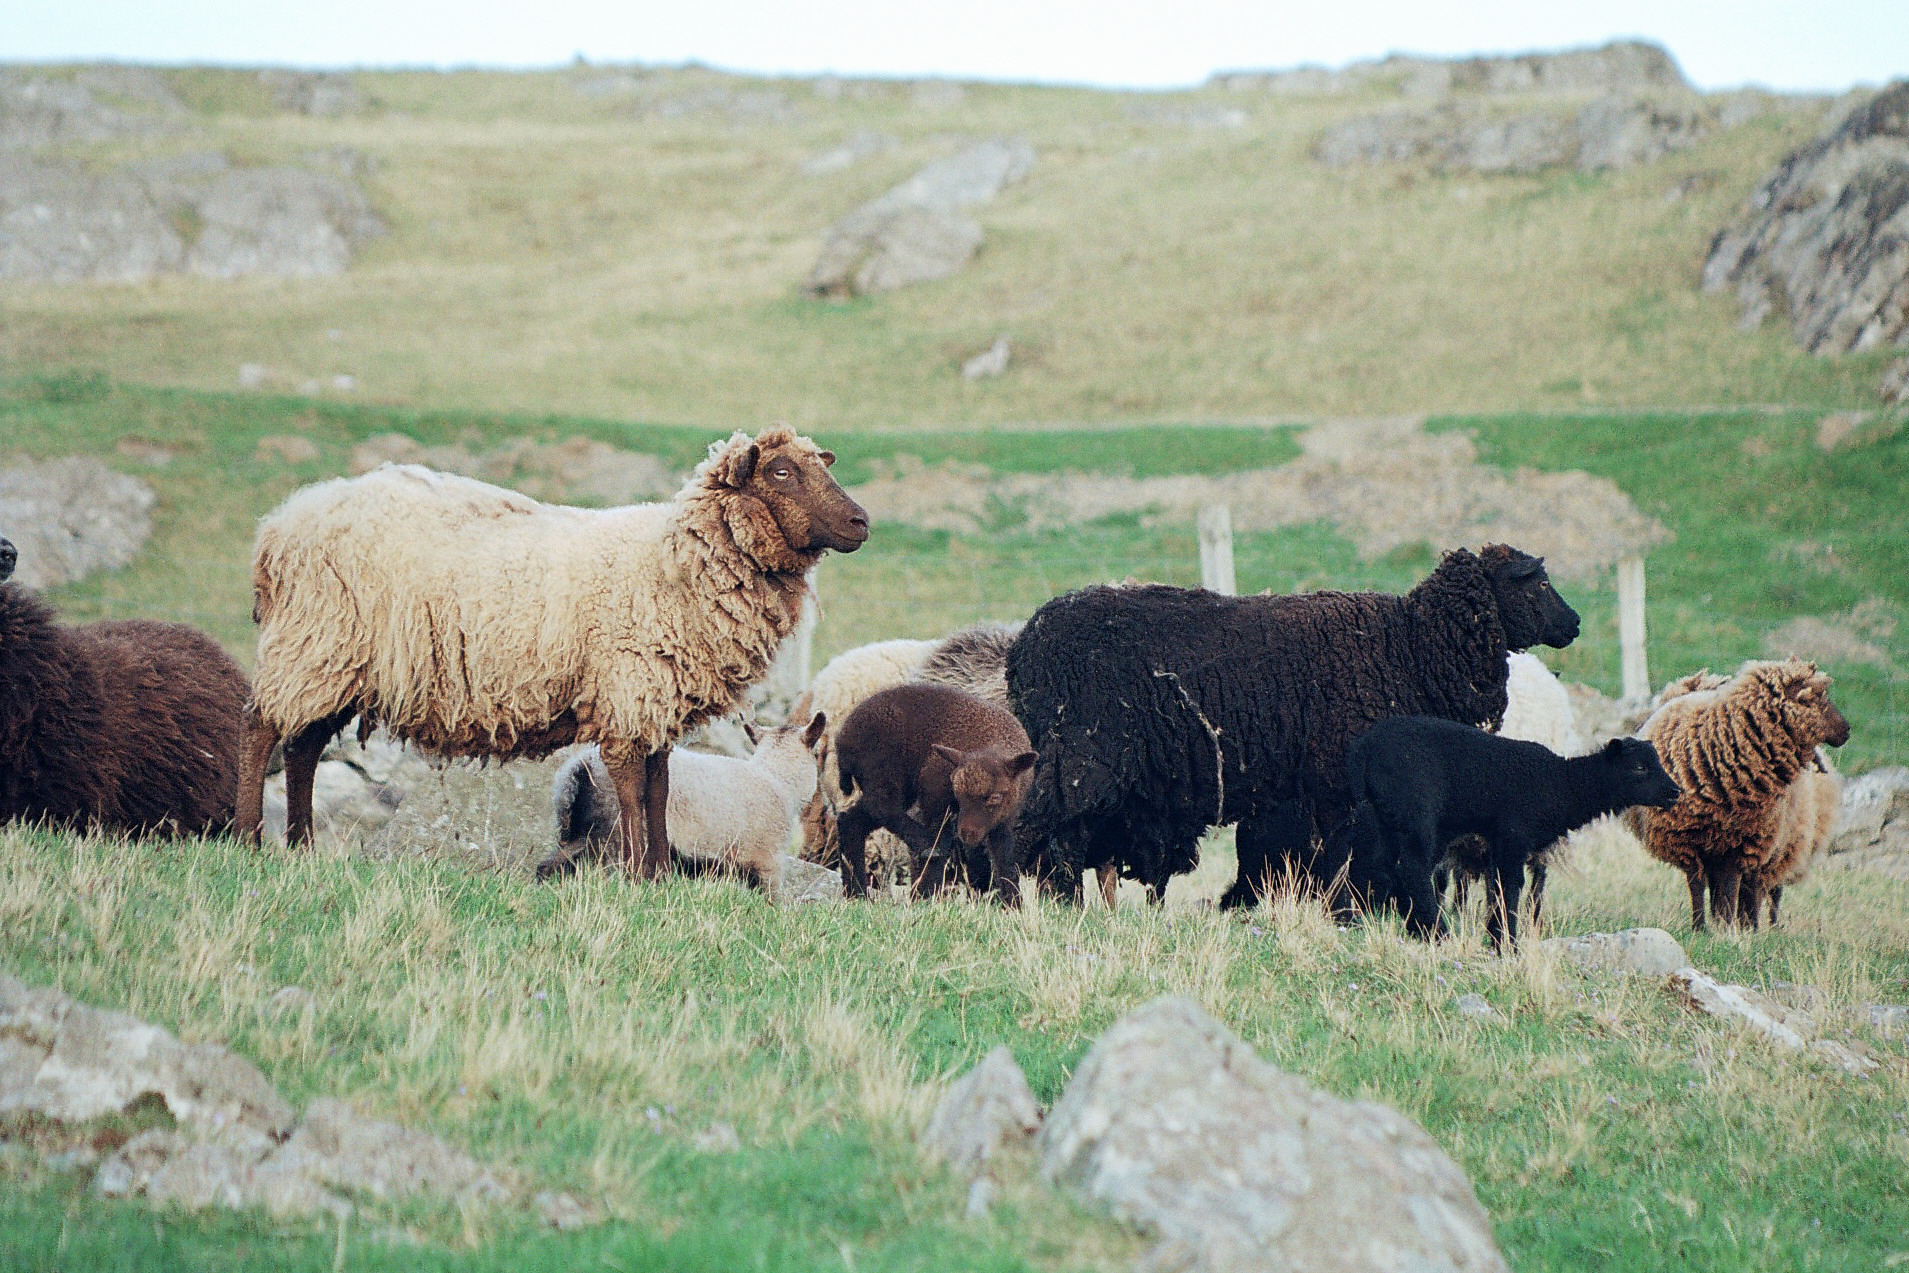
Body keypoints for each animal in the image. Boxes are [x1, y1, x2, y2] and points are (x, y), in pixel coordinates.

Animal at [538, 712, 828, 884]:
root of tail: (579, 767)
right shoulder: (767, 862)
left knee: (550, 864)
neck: (777, 779)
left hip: (583, 834)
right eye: (817, 755)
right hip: (614, 837)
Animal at [833, 683, 1036, 903]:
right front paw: (928, 895)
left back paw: (856, 893)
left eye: (995, 797)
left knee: (852, 821)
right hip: (883, 771)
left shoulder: (1003, 819)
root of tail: (841, 739)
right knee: (881, 807)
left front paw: (1013, 903)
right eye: (958, 794)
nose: (967, 833)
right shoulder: (934, 796)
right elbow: (942, 838)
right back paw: (925, 845)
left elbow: (1004, 860)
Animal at [1004, 545, 1581, 908]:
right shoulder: (1341, 783)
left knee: (1062, 841)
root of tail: (1025, 646)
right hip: (1080, 759)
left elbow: (1337, 856)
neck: (1410, 647)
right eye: (1541, 583)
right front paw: (1346, 913)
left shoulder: (1329, 787)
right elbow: (1345, 856)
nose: (1575, 624)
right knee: (1035, 830)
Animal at [1346, 716, 1681, 946]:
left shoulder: (1496, 840)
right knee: (1412, 870)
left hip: (1382, 816)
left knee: (1375, 867)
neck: (1563, 785)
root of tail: (1365, 749)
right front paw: (1507, 943)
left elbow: (1496, 887)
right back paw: (1436, 933)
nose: (1675, 792)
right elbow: (1511, 886)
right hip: (1417, 813)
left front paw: (1496, 937)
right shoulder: (1513, 834)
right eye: (1639, 767)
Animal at [1629, 658, 1851, 930]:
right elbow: (1698, 886)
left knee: (1763, 888)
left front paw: (1728, 928)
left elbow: (1732, 887)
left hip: (1779, 842)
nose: (1847, 731)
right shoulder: (1687, 840)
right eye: (1816, 697)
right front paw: (1701, 927)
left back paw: (1760, 926)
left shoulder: (1741, 844)